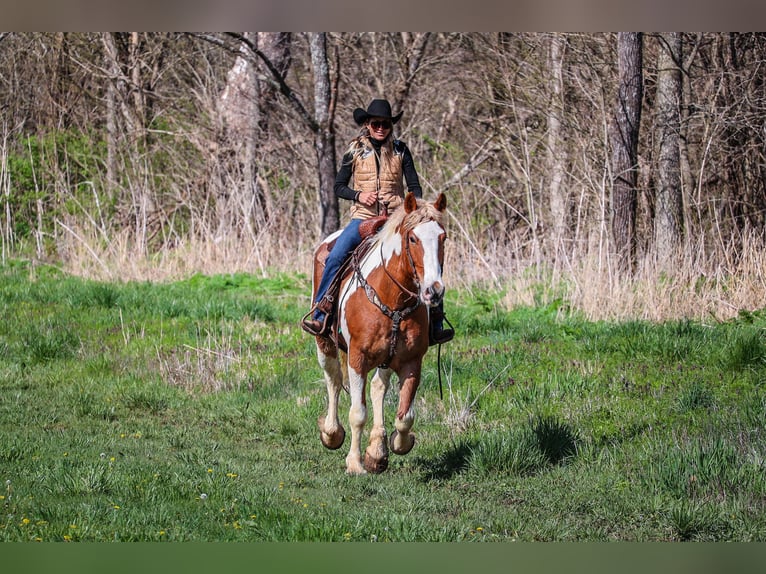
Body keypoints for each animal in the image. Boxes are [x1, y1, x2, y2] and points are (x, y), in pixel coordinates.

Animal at [308, 191, 448, 474]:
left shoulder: (411, 362)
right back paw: (331, 433)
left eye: (443, 237)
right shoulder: (357, 358)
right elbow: (357, 413)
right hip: (324, 343)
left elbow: (405, 416)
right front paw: (354, 463)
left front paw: (392, 446)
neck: (393, 299)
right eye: (413, 238)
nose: (434, 291)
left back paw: (376, 450)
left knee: (377, 387)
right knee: (333, 379)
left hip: (386, 358)